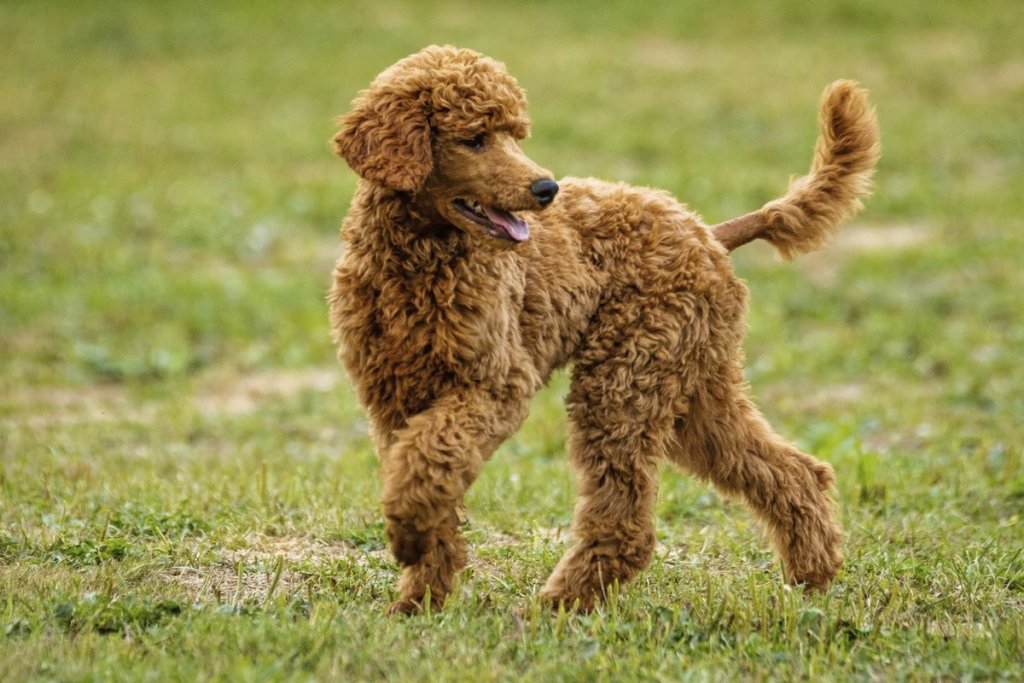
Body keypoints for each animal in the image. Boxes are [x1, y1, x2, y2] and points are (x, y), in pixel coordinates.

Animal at [327, 44, 880, 614]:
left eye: (515, 134)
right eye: (474, 138)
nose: (545, 188)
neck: (417, 264)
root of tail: (708, 232)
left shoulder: (495, 384)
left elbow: (429, 461)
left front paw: (408, 535)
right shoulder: (392, 399)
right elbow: (427, 475)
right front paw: (419, 599)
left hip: (626, 376)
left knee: (626, 520)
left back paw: (560, 603)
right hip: (692, 388)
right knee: (791, 470)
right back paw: (812, 575)